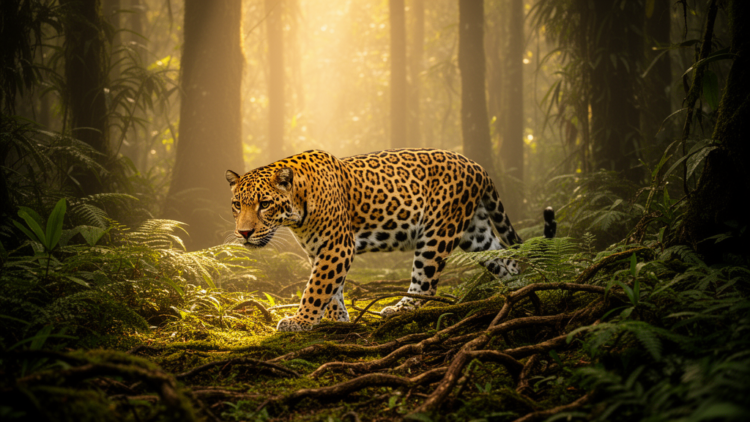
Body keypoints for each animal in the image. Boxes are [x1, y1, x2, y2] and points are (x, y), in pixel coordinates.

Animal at [226, 148, 552, 332]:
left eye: (265, 204)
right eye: (237, 205)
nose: (243, 233)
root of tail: (476, 165)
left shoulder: (336, 246)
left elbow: (317, 287)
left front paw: (301, 320)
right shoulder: (320, 249)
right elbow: (333, 287)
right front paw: (336, 318)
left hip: (437, 230)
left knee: (426, 283)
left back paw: (400, 308)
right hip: (475, 234)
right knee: (504, 258)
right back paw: (522, 289)